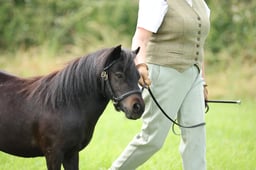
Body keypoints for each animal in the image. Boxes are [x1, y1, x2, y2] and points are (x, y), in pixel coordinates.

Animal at [0, 45, 144, 170]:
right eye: (119, 75)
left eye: (138, 76)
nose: (138, 107)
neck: (64, 105)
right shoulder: (53, 154)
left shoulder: (72, 153)